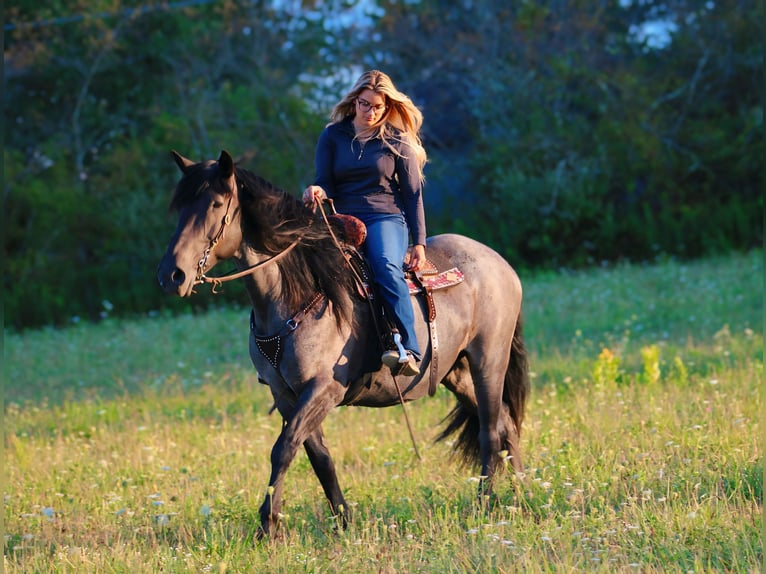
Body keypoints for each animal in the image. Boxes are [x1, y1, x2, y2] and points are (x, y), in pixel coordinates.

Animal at [156, 150, 528, 540]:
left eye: (215, 204)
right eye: (182, 207)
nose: (172, 275)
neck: (297, 294)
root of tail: (499, 263)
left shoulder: (324, 388)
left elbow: (283, 448)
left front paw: (267, 525)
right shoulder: (285, 394)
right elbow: (317, 455)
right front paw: (343, 520)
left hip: (489, 360)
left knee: (490, 429)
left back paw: (485, 503)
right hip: (456, 373)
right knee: (505, 423)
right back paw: (523, 495)